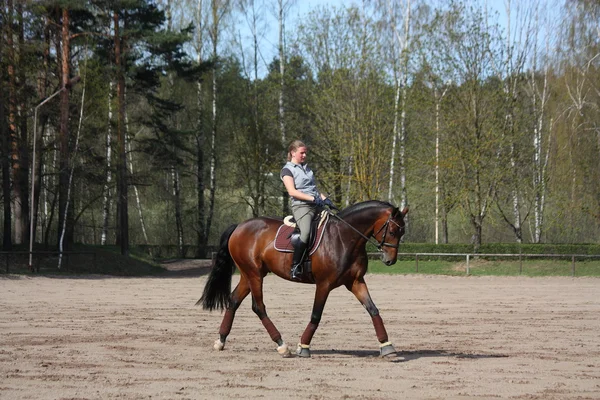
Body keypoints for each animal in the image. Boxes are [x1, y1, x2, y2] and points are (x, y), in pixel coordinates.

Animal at [197, 202, 408, 358]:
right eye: (392, 231)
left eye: (402, 233)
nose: (390, 260)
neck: (344, 237)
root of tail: (239, 226)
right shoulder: (324, 284)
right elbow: (316, 315)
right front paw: (303, 346)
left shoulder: (355, 282)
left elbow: (373, 309)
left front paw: (387, 345)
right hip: (254, 274)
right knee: (258, 307)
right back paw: (282, 345)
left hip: (249, 275)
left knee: (233, 301)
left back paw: (221, 340)